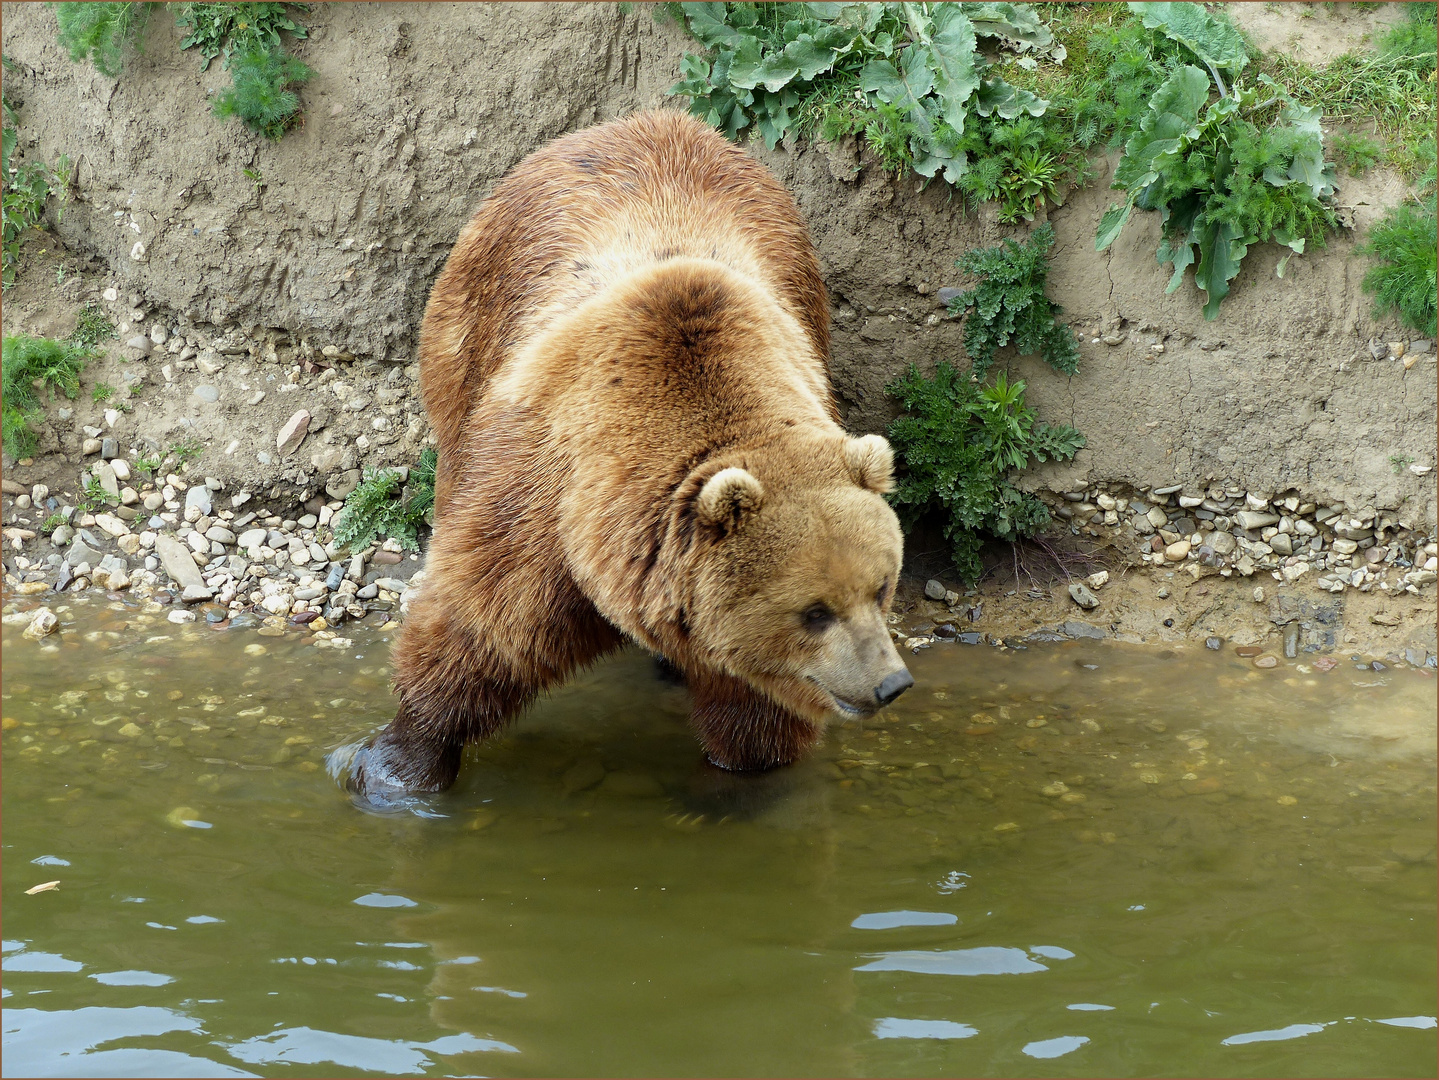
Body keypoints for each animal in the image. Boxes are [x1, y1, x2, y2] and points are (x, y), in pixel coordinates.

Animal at [346, 112, 909, 805]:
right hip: (470, 338)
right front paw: (396, 767)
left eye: (881, 586)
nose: (890, 682)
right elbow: (483, 626)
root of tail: (646, 121)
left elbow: (752, 717)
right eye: (815, 611)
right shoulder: (548, 498)